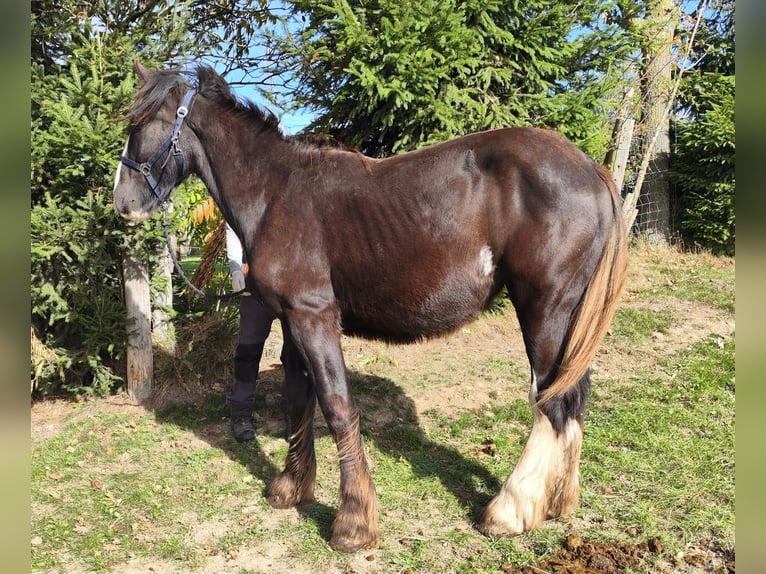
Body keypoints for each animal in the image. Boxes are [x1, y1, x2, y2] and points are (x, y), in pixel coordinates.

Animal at [113, 61, 628, 552]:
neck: (275, 192)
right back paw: (558, 501)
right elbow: (298, 401)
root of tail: (591, 169)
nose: (123, 204)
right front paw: (291, 488)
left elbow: (338, 406)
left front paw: (353, 524)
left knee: (552, 402)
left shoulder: (314, 316)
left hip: (545, 311)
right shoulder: (292, 321)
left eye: (140, 124)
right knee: (574, 397)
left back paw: (509, 510)